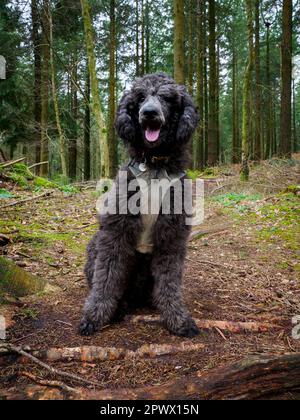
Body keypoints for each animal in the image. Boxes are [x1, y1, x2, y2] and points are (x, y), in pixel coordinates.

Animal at [79, 72, 199, 338]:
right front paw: (94, 316)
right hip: (95, 244)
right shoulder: (116, 231)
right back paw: (119, 307)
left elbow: (169, 283)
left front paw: (177, 318)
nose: (149, 113)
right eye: (140, 97)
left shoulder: (172, 236)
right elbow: (106, 279)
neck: (154, 164)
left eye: (166, 97)